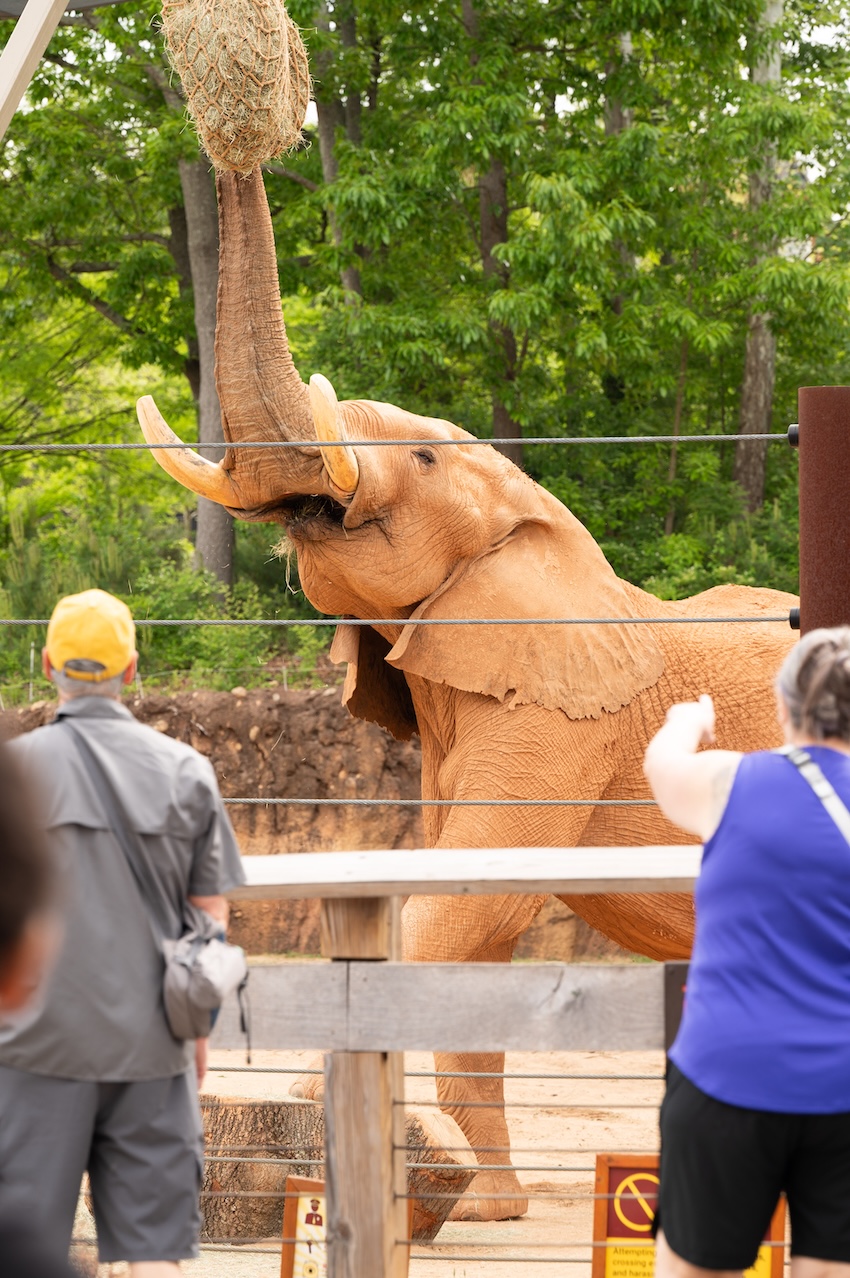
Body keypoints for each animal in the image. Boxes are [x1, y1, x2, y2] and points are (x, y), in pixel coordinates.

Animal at [137, 167, 797, 1222]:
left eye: (424, 459)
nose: (239, 154)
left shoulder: (566, 722)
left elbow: (469, 899)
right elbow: (472, 921)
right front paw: (485, 1206)